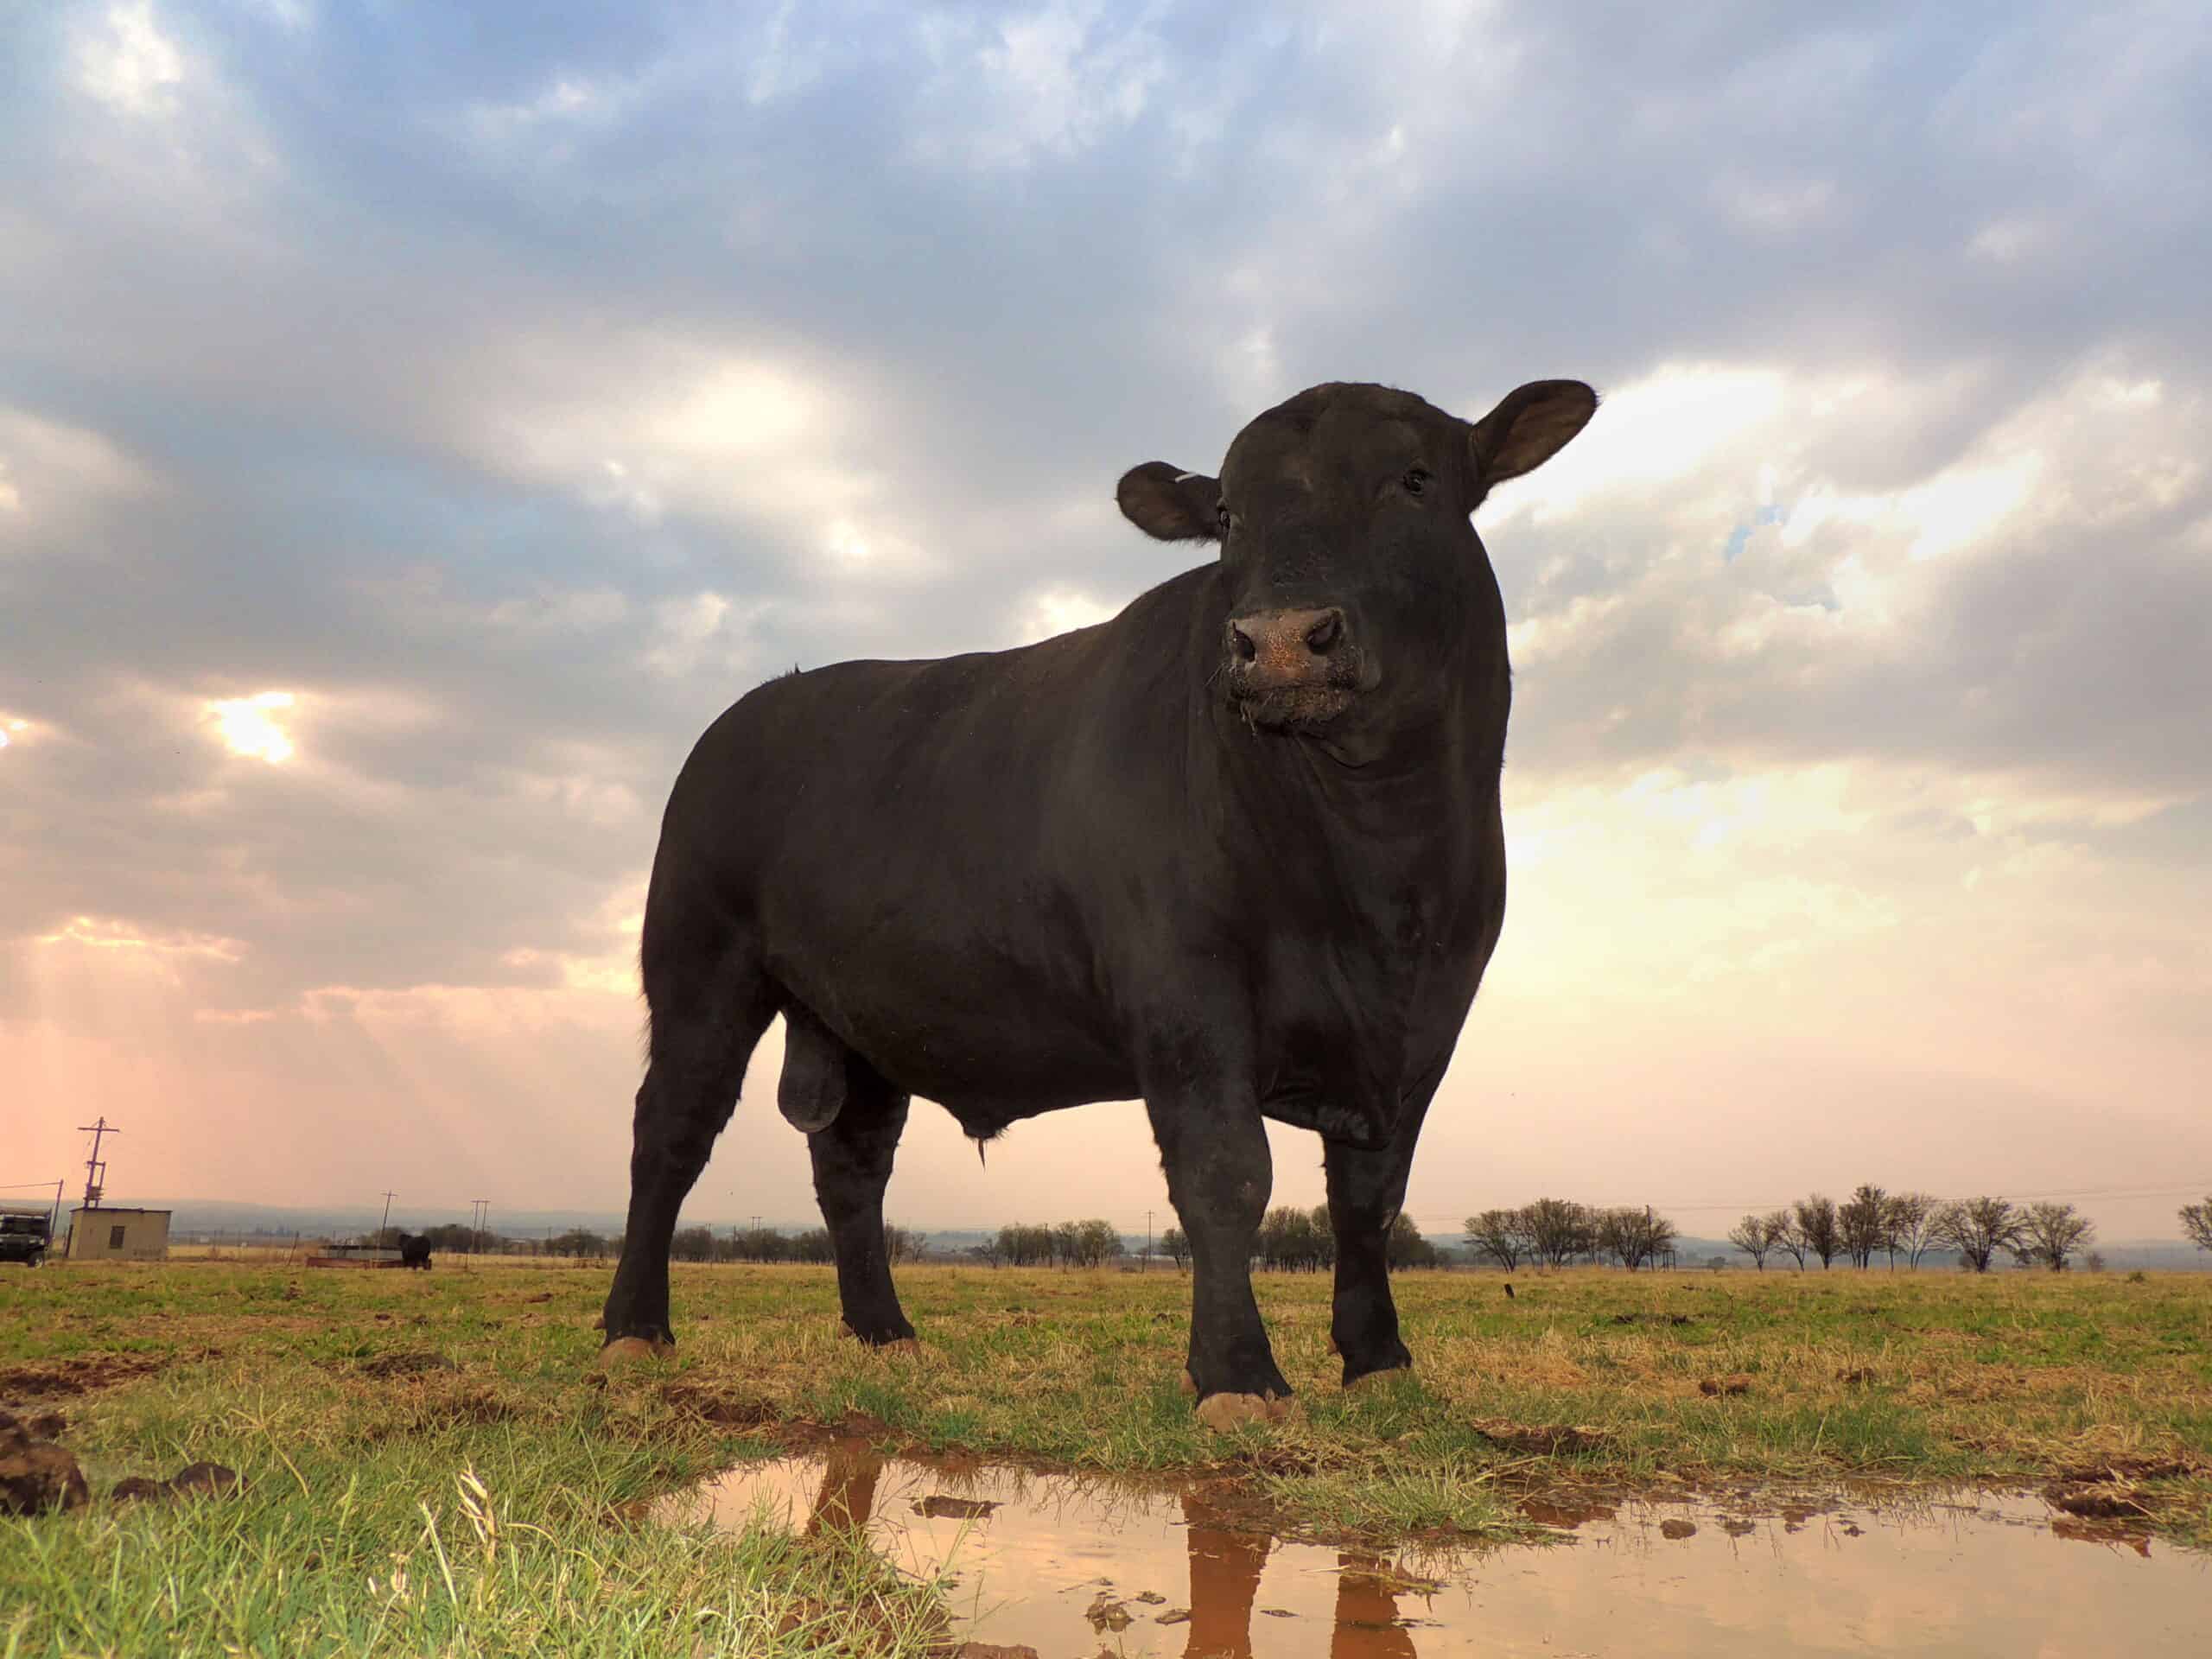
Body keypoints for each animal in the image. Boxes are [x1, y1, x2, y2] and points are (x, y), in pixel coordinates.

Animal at [606, 376, 1601, 1433]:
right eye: (1226, 516)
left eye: (1414, 478)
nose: (1280, 642)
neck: (1379, 867)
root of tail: (753, 709)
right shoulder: (1186, 993)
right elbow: (1226, 1174)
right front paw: (1237, 1375)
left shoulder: (1428, 1022)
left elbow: (1369, 1196)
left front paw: (1378, 1360)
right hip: (700, 967)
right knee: (670, 1134)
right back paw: (636, 1330)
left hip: (862, 1019)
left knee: (851, 1167)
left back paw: (886, 1335)